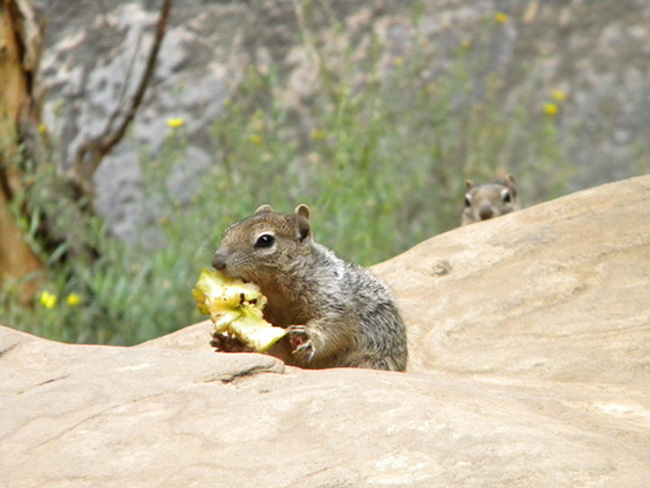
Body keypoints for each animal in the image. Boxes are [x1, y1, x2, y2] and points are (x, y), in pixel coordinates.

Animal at [210, 204, 408, 372]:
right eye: (228, 231)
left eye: (265, 240)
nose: (216, 262)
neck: (276, 290)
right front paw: (235, 345)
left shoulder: (334, 301)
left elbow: (332, 328)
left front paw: (308, 338)